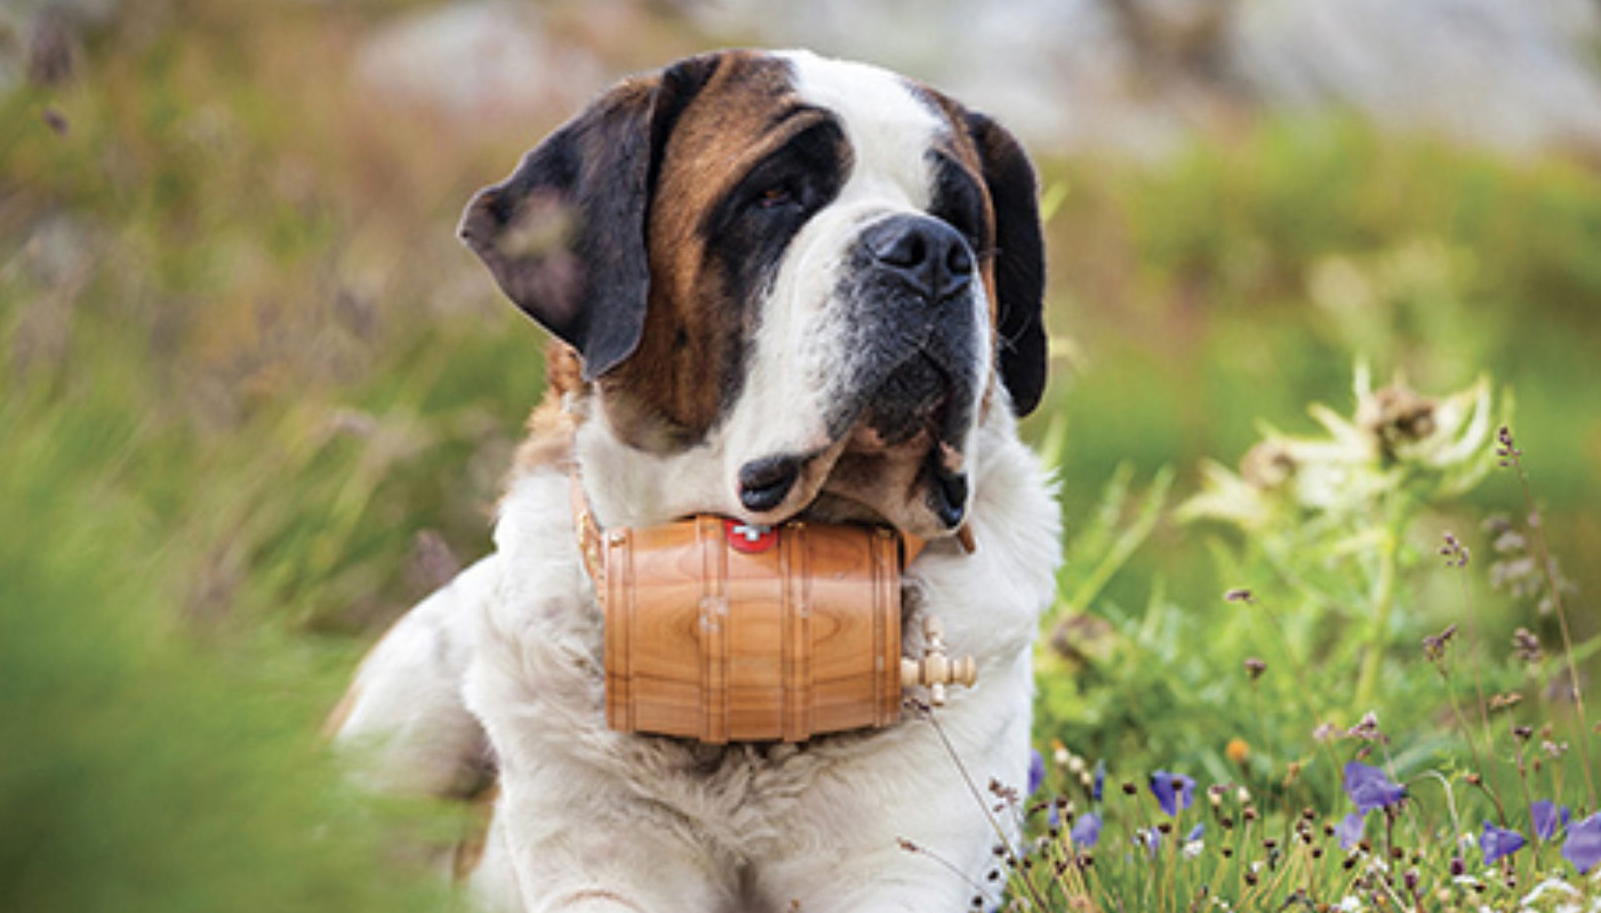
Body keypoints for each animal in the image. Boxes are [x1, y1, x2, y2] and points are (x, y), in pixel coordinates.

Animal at [328, 49, 1063, 909]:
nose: (929, 248)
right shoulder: (601, 863)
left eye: (962, 222)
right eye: (774, 193)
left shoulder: (901, 865)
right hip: (407, 695)